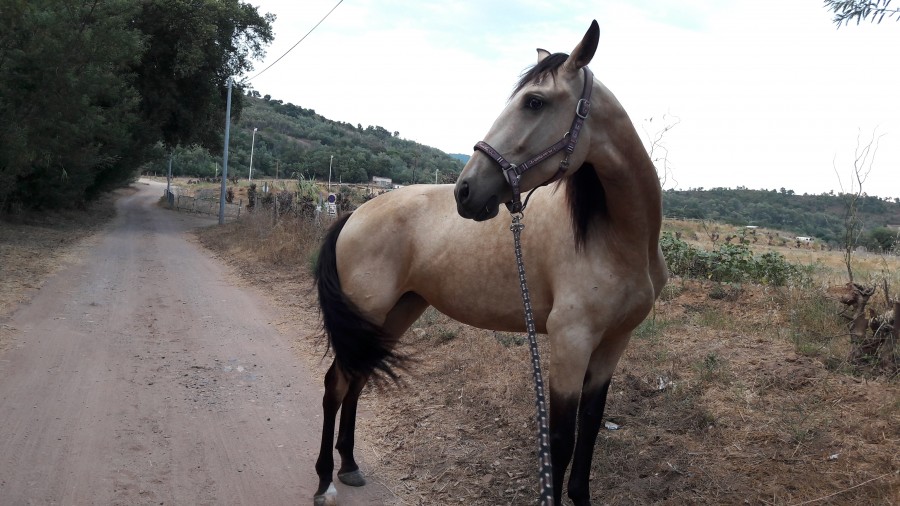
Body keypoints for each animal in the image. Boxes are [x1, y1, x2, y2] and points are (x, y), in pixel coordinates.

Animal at [313, 20, 667, 506]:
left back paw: (349, 464)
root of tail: (354, 214)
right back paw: (325, 479)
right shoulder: (571, 342)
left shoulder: (614, 342)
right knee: (336, 384)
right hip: (369, 310)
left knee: (358, 378)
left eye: (534, 101)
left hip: (397, 311)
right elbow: (560, 440)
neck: (618, 240)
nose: (465, 191)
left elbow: (591, 428)